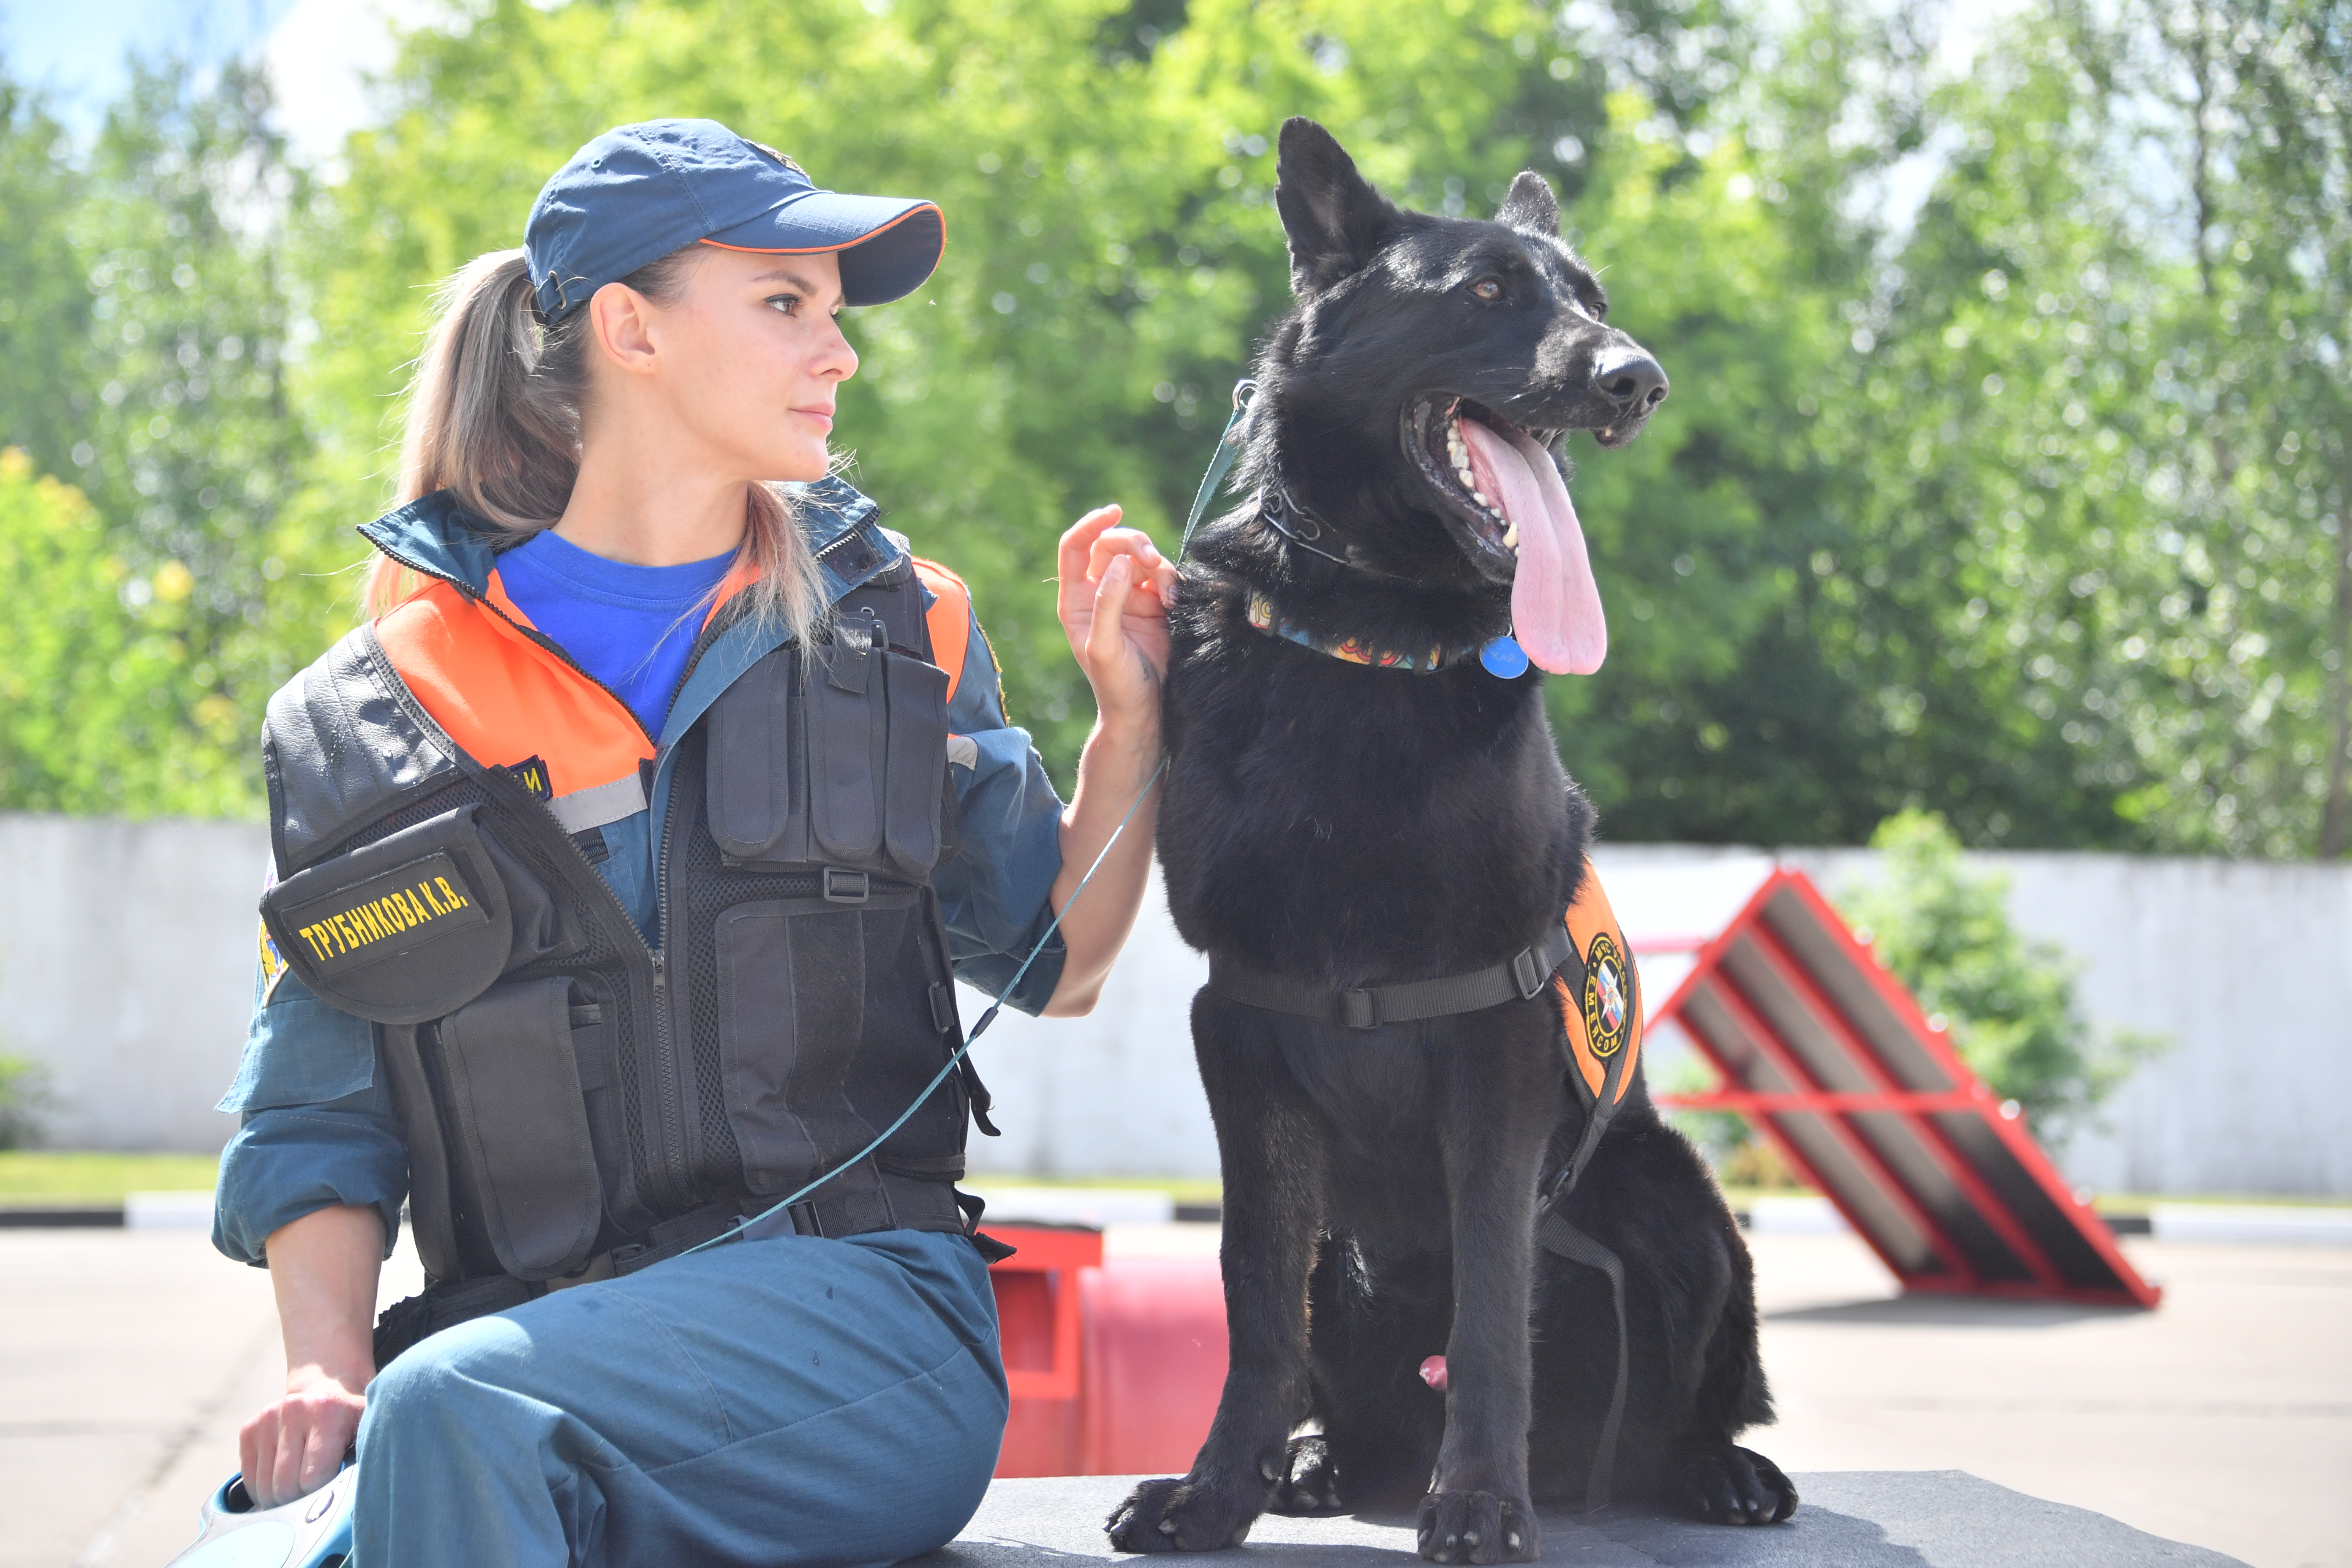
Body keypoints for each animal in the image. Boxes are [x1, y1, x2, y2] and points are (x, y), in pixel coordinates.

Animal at [1105, 116, 1797, 1561]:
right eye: (1485, 294)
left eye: (1591, 296)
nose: (1637, 379)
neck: (1370, 639)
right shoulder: (1241, 1035)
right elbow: (1253, 1303)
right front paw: (1215, 1491)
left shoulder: (1495, 1053)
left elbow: (1489, 1308)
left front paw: (1479, 1502)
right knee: (1338, 1383)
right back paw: (1316, 1464)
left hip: (1680, 1199)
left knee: (1694, 1402)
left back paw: (1713, 1471)